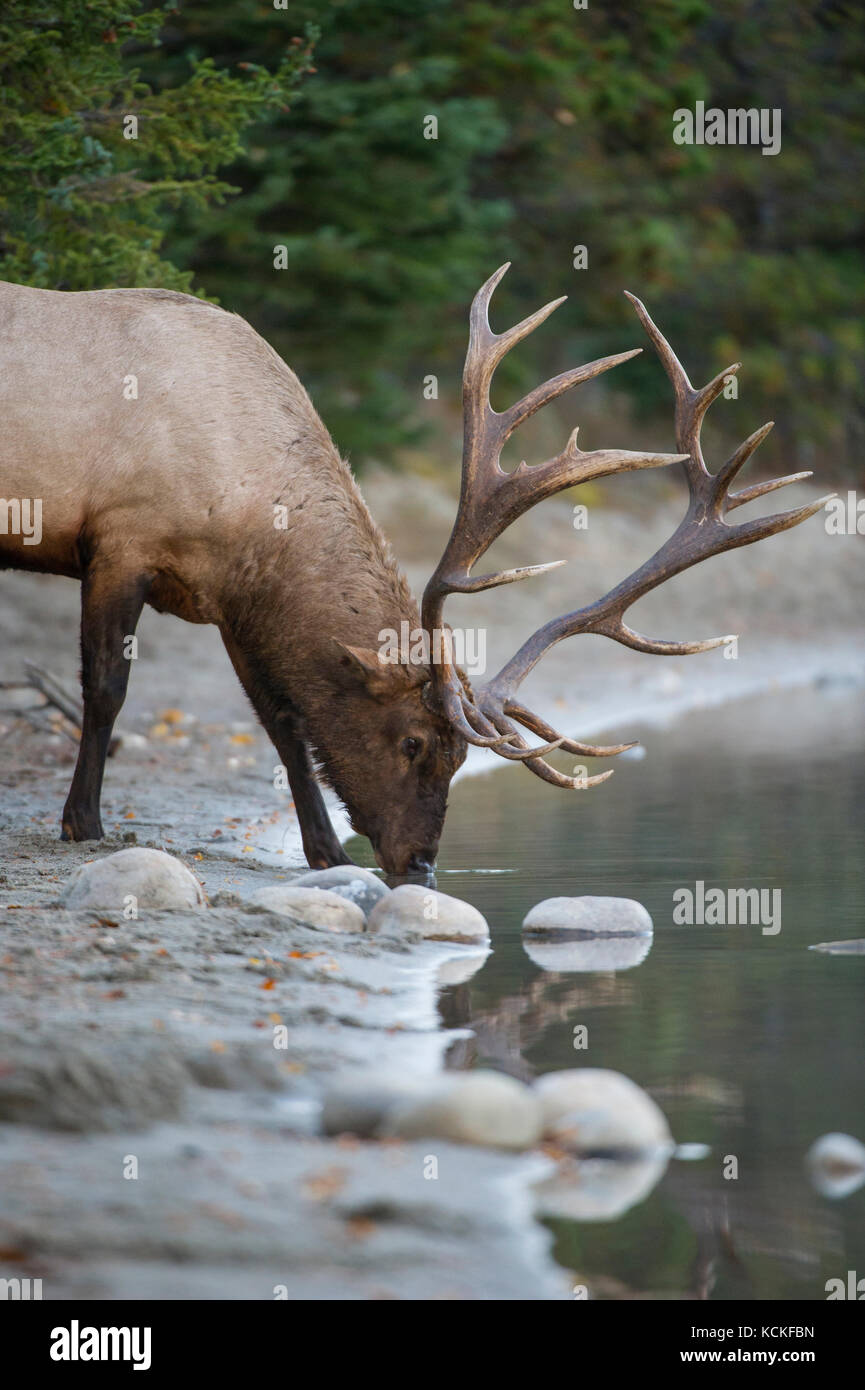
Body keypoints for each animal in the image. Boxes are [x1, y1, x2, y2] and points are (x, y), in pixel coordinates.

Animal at [0, 265, 828, 874]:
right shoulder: (122, 538)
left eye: (463, 760)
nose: (422, 867)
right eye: (412, 743)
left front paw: (326, 853)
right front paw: (82, 822)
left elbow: (282, 720)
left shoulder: (229, 605)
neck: (243, 512)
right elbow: (107, 687)